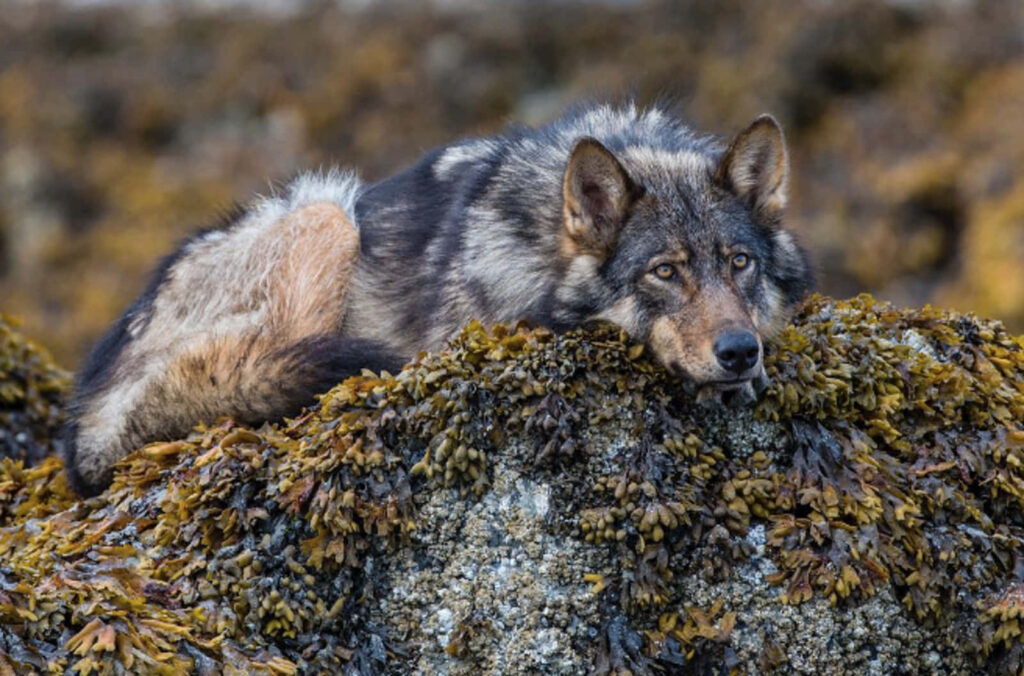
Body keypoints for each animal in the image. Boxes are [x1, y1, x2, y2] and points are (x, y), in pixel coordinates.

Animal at [63, 103, 813, 496]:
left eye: (739, 263)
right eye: (664, 272)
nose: (739, 353)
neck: (538, 247)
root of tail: (86, 416)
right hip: (325, 211)